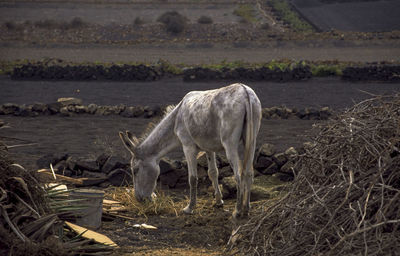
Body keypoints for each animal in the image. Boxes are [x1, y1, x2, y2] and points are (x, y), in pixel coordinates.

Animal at [119, 82, 262, 218]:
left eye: (135, 170)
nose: (139, 199)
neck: (176, 118)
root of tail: (245, 92)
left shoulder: (188, 147)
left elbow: (192, 178)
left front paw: (189, 208)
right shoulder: (208, 148)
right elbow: (213, 172)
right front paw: (218, 202)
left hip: (230, 144)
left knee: (238, 176)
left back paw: (237, 211)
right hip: (251, 140)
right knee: (248, 173)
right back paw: (246, 209)